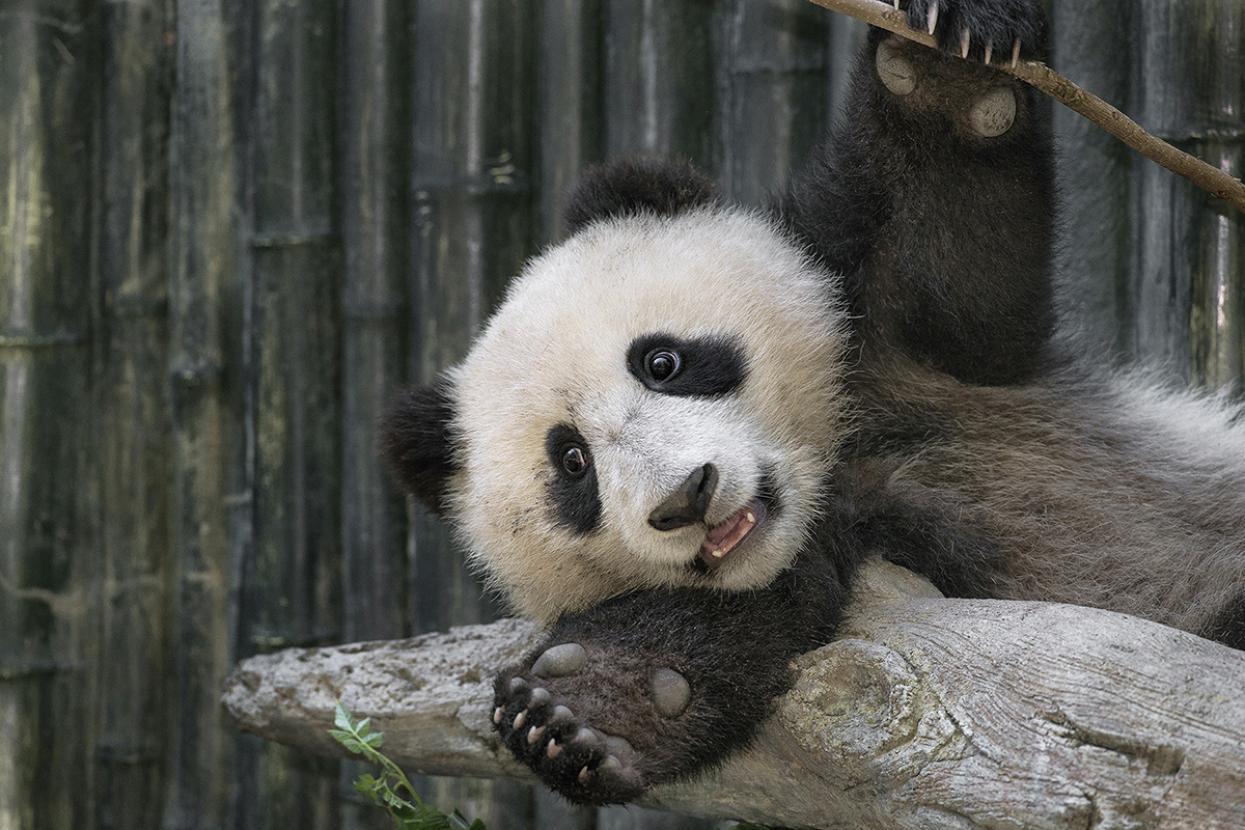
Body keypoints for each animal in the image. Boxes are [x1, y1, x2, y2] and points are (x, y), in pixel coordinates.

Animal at [383, 0, 1245, 806]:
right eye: (571, 464)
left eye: (661, 362)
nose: (685, 497)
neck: (839, 466)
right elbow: (729, 617)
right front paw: (581, 710)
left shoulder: (896, 334)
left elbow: (954, 256)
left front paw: (945, 57)